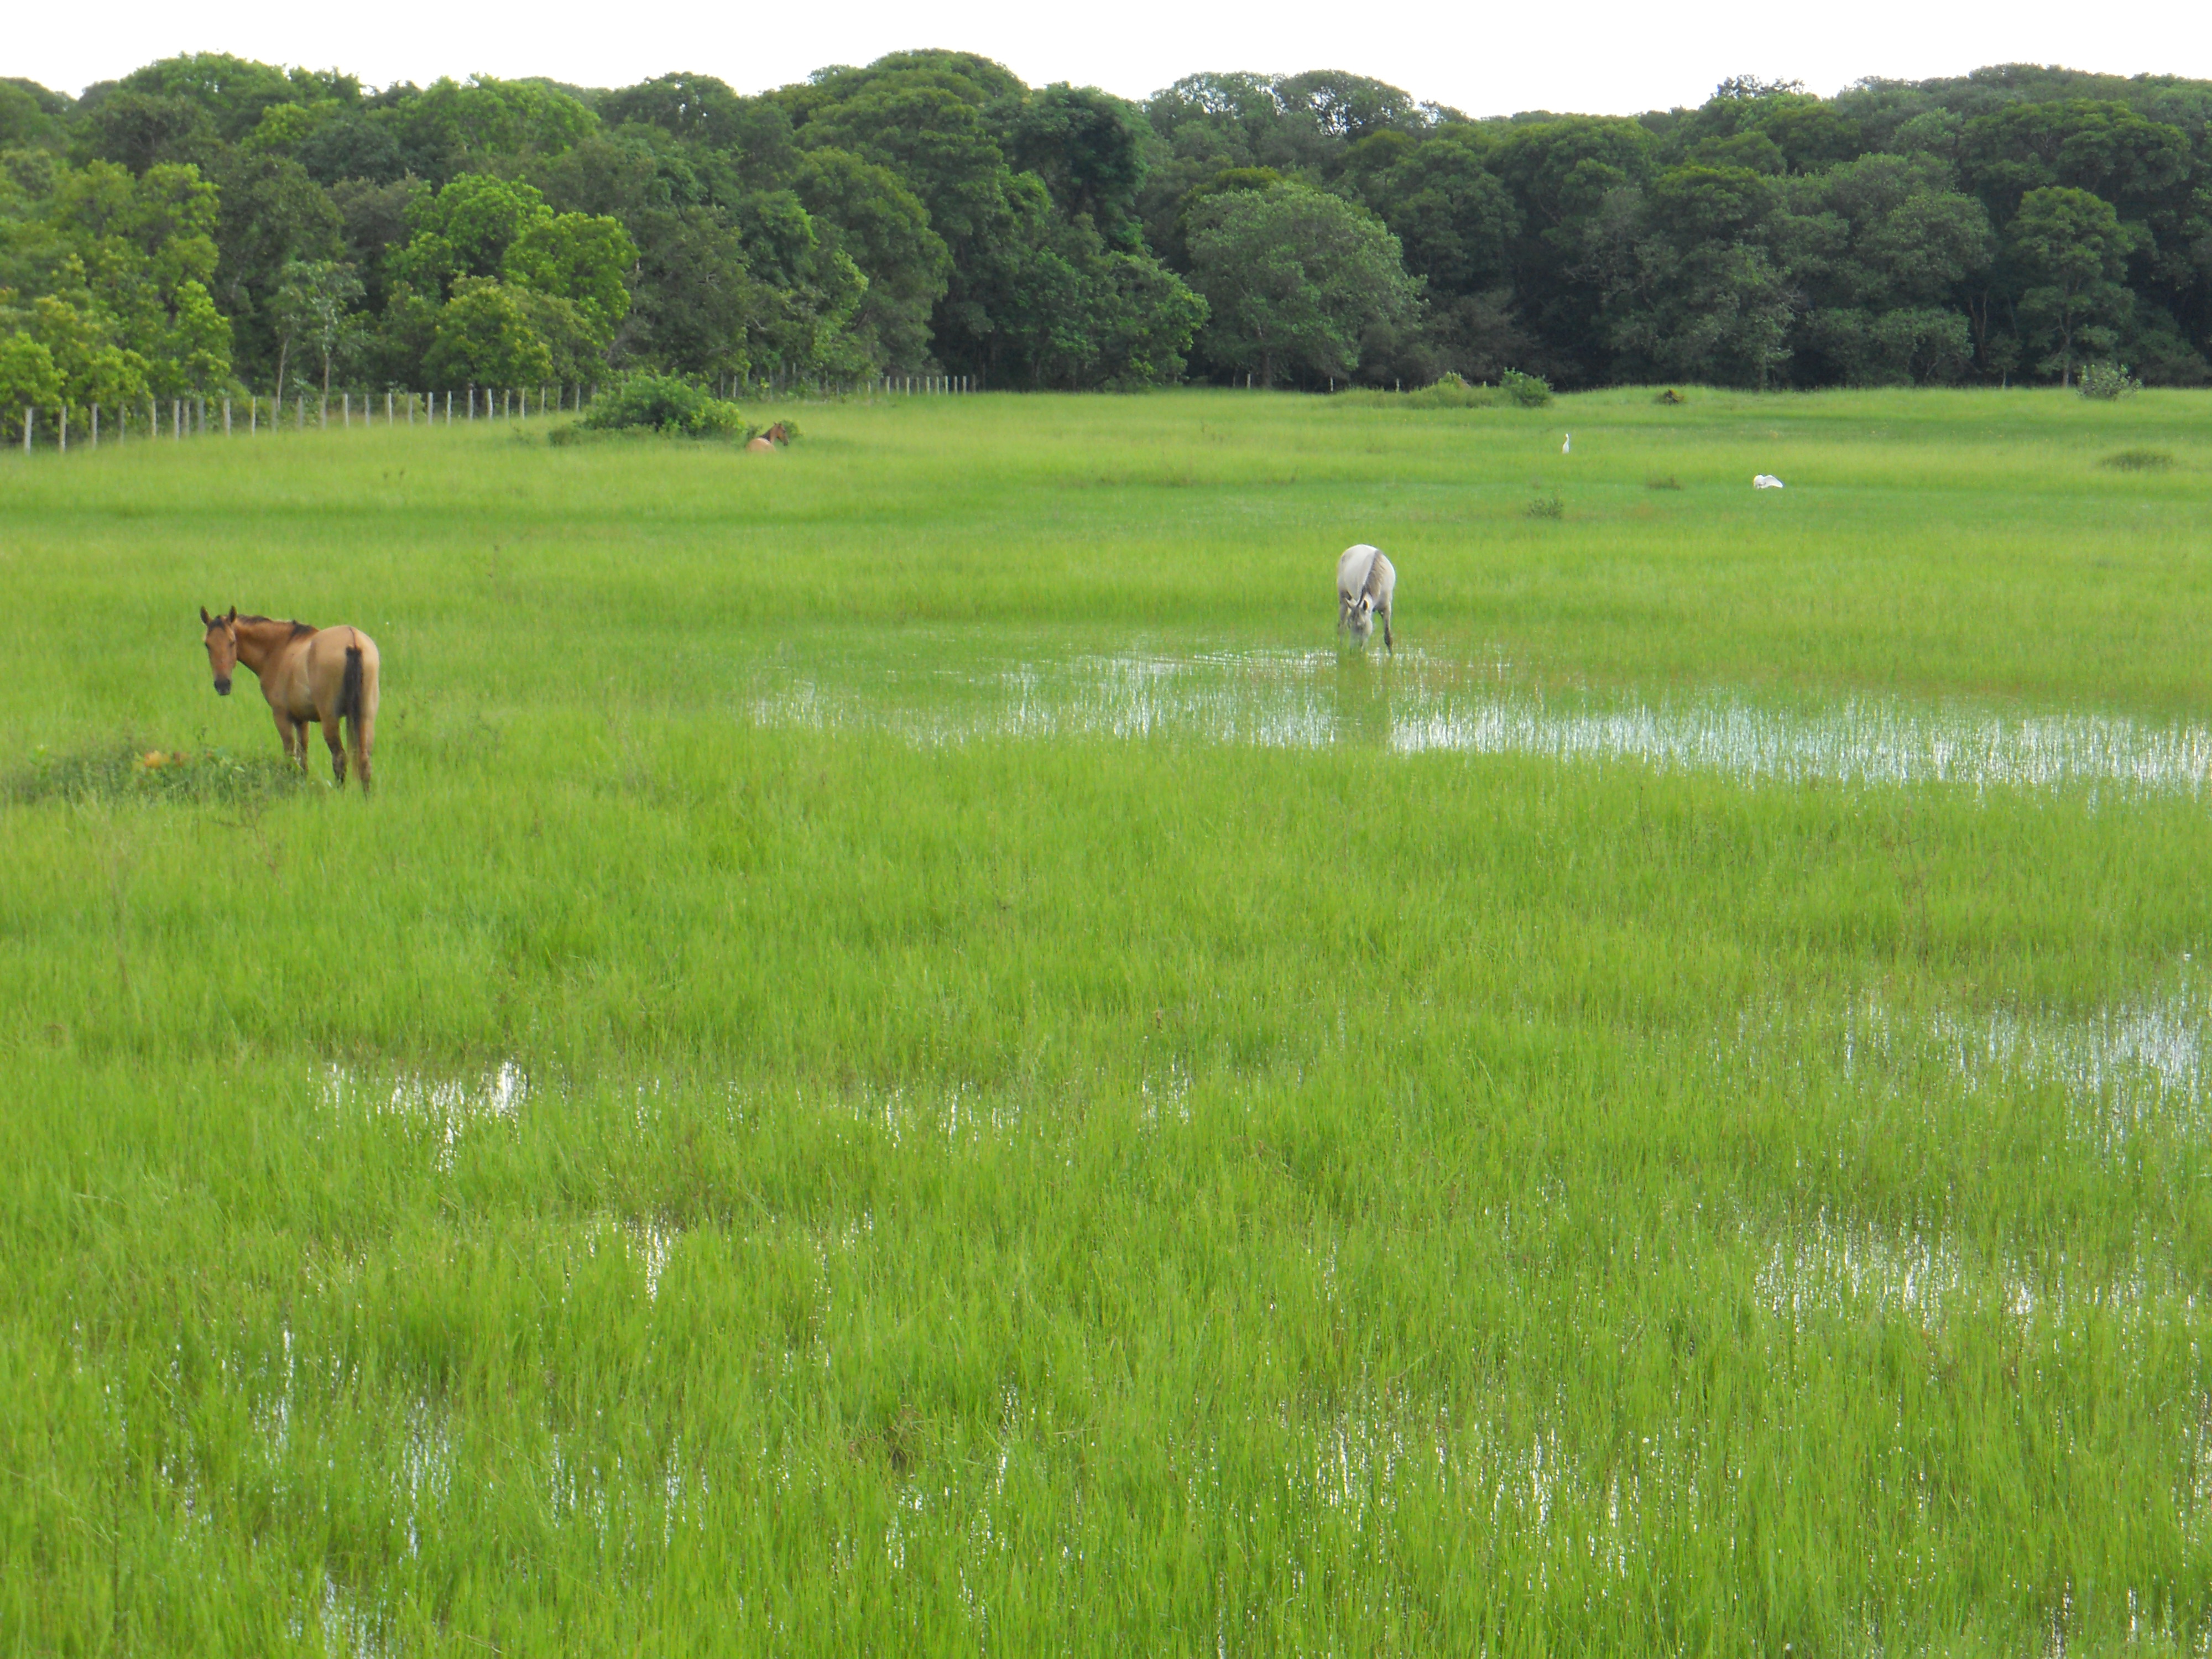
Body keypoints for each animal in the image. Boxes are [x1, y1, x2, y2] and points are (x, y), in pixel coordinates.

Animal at [199, 607, 380, 791]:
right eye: (207, 644)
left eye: (232, 641)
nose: (223, 685)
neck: (280, 649)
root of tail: (353, 641)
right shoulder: (302, 720)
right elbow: (303, 759)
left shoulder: (282, 716)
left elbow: (290, 757)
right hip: (365, 717)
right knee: (364, 761)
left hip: (330, 719)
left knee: (340, 758)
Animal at [1336, 545, 1396, 653]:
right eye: (1350, 625)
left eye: (1361, 626)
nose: (1352, 649)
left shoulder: (1386, 608)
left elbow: (1388, 637)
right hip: (1344, 599)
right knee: (1341, 628)